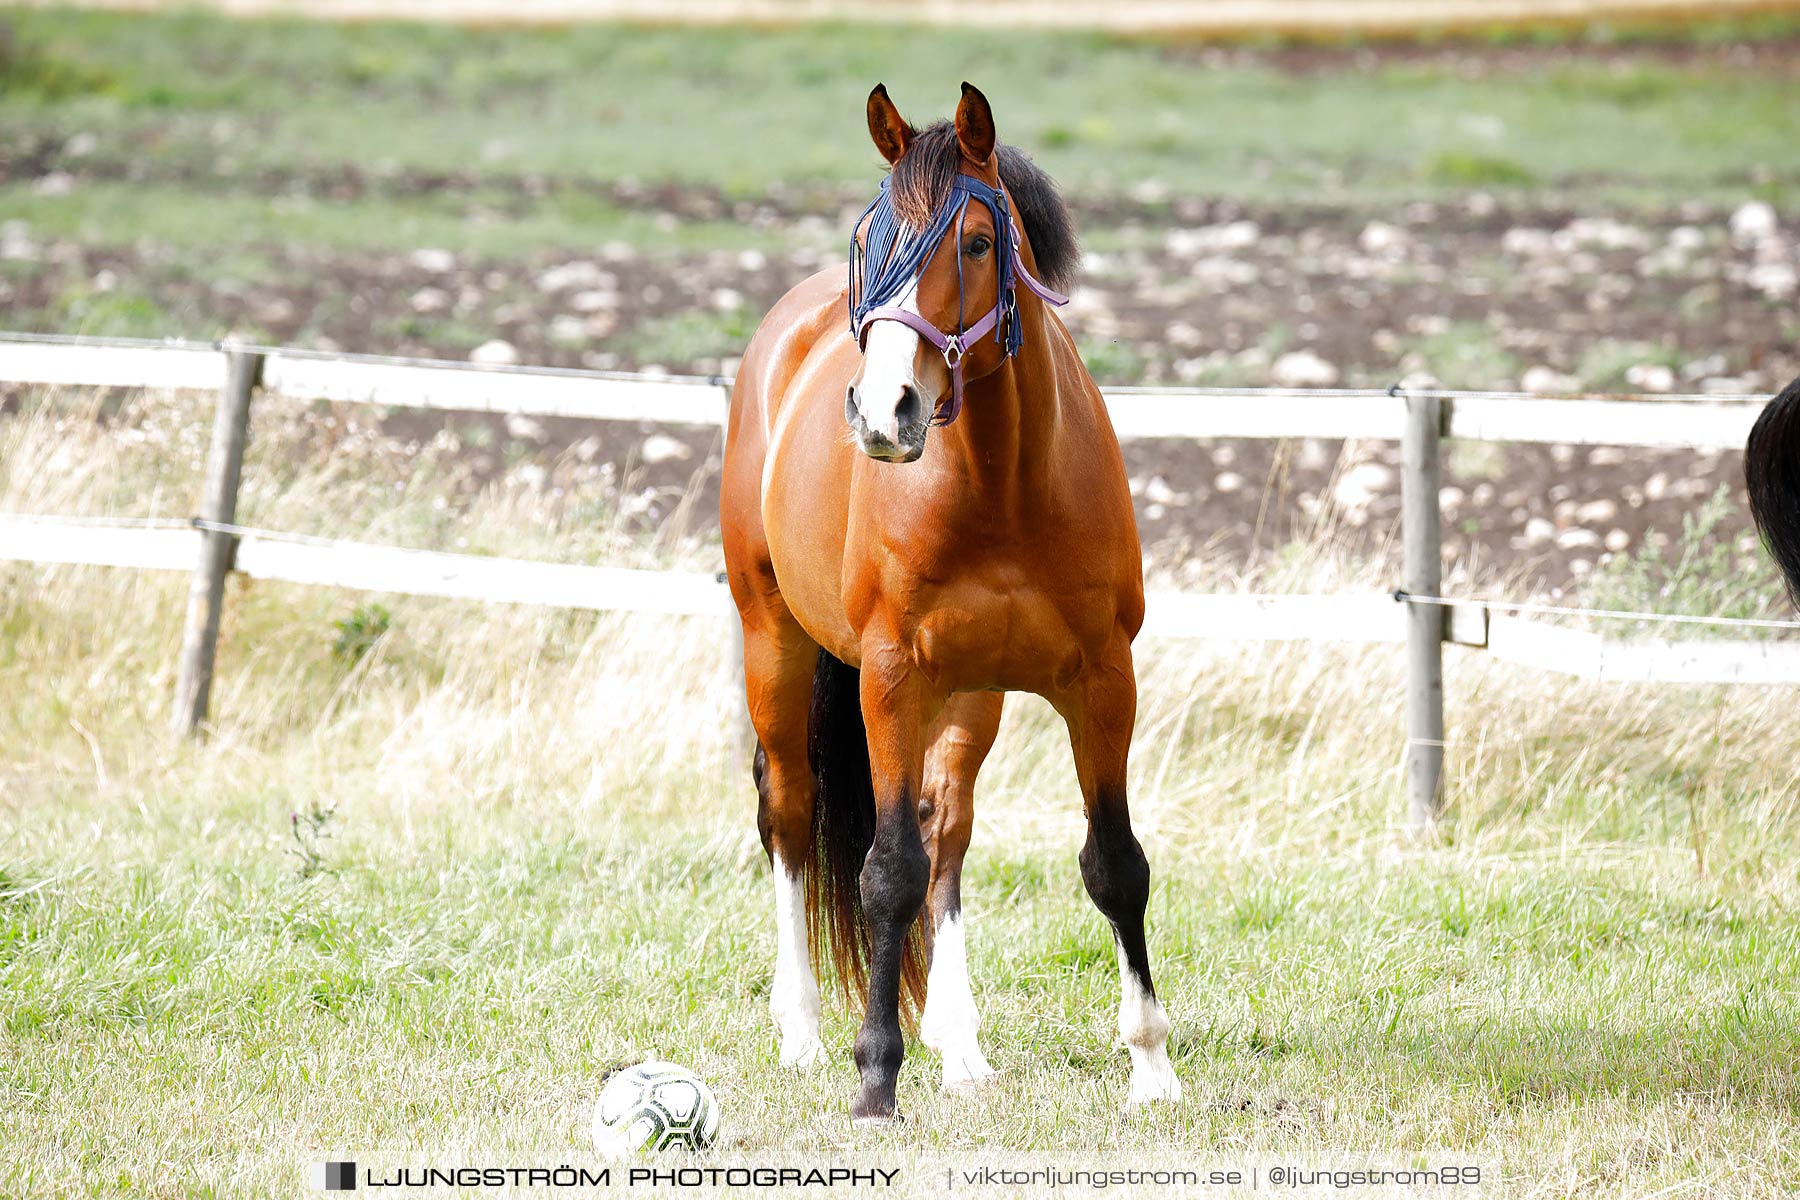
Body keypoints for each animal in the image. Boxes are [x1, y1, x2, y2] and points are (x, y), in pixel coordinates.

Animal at [720, 84, 1180, 1129]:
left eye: (974, 242)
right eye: (868, 235)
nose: (883, 410)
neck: (1005, 486)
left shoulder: (1104, 680)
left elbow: (1114, 862)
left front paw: (1151, 1067)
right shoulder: (891, 679)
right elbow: (884, 872)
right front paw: (875, 1077)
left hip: (975, 694)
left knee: (946, 828)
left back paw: (961, 1045)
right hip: (776, 645)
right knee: (791, 815)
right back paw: (803, 1035)